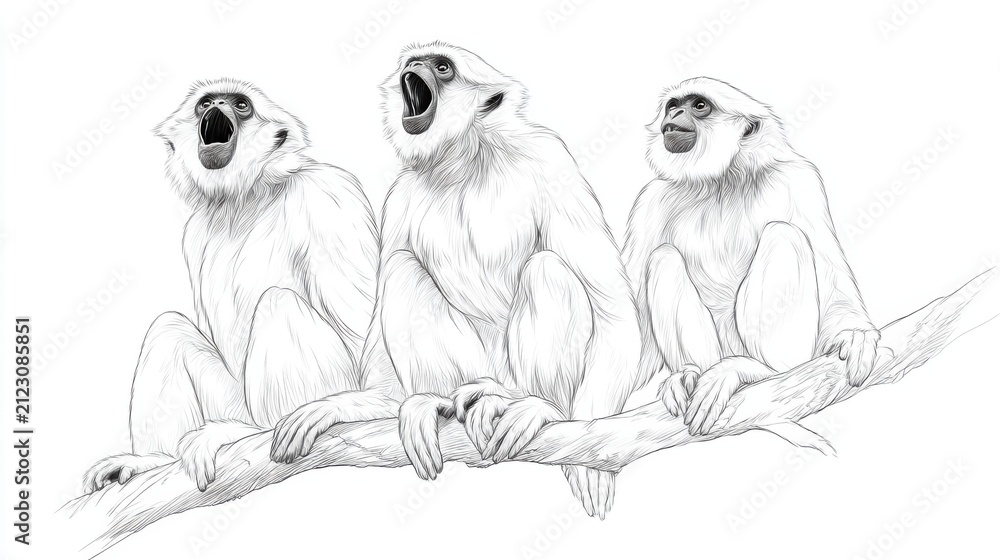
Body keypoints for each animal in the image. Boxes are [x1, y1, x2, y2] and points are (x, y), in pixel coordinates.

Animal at [82, 79, 400, 493]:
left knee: (278, 302)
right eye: (205, 104)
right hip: (233, 401)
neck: (244, 198)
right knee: (167, 328)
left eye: (241, 105)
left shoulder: (329, 194)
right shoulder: (194, 233)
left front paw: (351, 405)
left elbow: (363, 333)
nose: (217, 103)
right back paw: (155, 459)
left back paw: (251, 431)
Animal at [622, 77, 880, 437]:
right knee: (663, 257)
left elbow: (831, 271)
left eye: (698, 106)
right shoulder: (649, 200)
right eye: (673, 106)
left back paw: (761, 370)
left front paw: (855, 335)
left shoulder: (800, 179)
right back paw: (688, 374)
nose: (673, 116)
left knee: (783, 234)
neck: (722, 181)